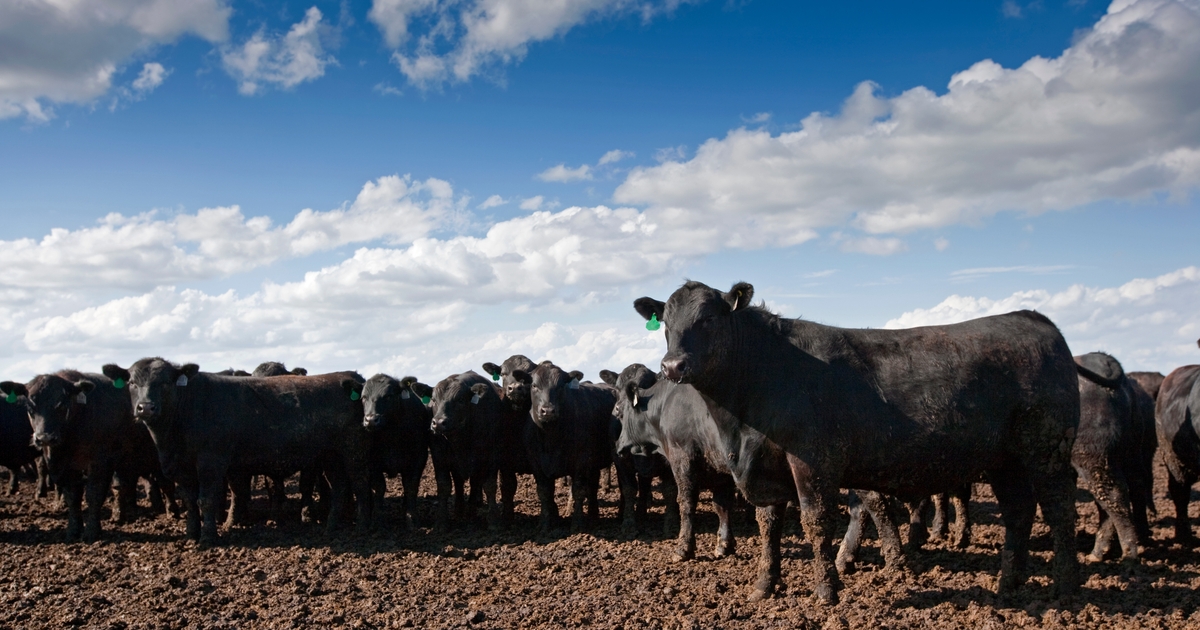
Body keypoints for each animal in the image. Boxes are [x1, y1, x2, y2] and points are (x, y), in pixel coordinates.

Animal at [0, 374, 174, 540]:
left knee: (163, 482)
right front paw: (73, 531)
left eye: (61, 405)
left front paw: (92, 531)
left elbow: (94, 495)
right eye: (29, 407)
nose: (44, 438)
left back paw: (171, 511)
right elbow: (72, 497)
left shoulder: (100, 464)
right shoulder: (65, 468)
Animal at [103, 355, 369, 542]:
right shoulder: (181, 467)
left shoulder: (212, 461)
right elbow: (190, 501)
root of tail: (351, 377)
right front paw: (191, 534)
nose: (146, 407)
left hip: (354, 452)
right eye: (132, 383)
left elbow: (207, 500)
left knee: (360, 485)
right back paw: (331, 526)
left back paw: (362, 525)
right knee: (340, 488)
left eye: (166, 382)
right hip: (330, 457)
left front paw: (209, 537)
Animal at [343, 374, 432, 525]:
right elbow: (379, 487)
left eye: (389, 396)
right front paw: (378, 519)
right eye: (363, 397)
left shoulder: (419, 457)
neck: (391, 435)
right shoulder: (372, 461)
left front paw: (411, 517)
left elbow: (411, 486)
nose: (371, 420)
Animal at [511, 357, 614, 530]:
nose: (547, 411)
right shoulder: (536, 464)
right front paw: (545, 524)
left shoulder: (581, 461)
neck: (551, 437)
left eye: (560, 386)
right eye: (534, 385)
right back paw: (593, 514)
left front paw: (577, 523)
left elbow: (578, 491)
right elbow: (544, 493)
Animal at [1075, 350, 1156, 556]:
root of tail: (1102, 359)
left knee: (1114, 497)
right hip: (1129, 453)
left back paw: (1124, 553)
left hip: (1094, 459)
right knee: (1133, 486)